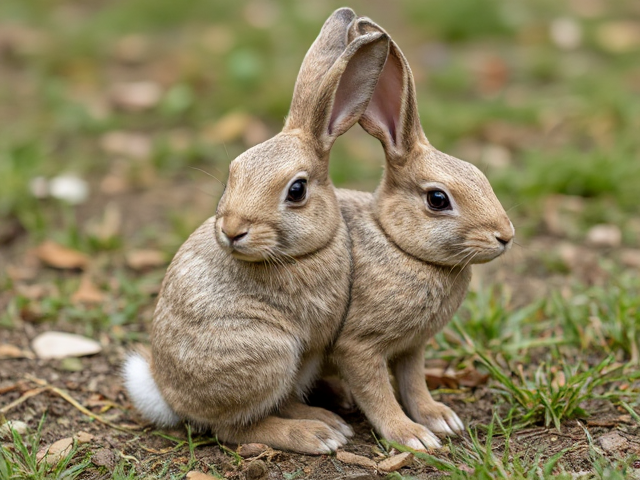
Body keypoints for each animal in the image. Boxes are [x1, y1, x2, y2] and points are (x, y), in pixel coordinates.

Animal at [122, 8, 391, 455]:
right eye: (233, 175)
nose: (232, 230)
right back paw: (319, 433)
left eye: (296, 191)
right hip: (270, 353)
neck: (304, 252)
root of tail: (169, 398)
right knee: (234, 429)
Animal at [328, 16, 515, 451]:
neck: (397, 242)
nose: (505, 235)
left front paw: (440, 419)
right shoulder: (358, 346)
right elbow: (378, 392)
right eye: (437, 199)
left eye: (481, 176)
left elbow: (414, 383)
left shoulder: (413, 347)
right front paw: (412, 436)